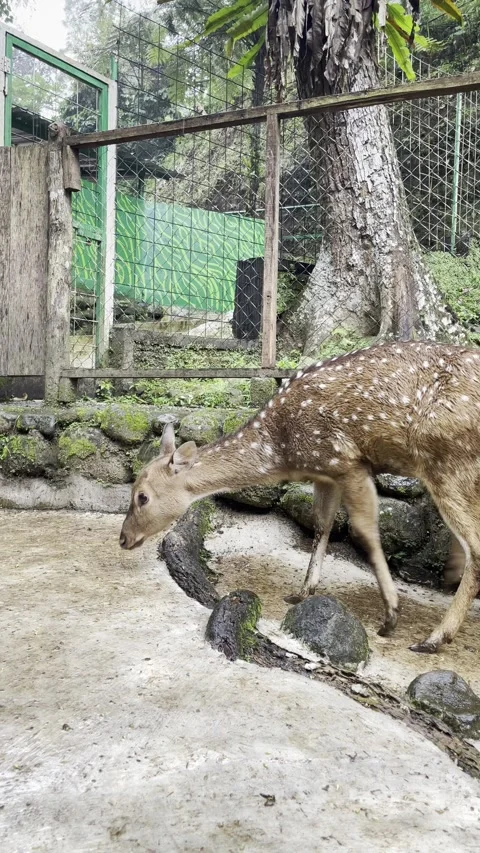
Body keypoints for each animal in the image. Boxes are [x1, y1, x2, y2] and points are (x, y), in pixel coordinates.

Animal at [119, 340, 480, 655]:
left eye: (142, 497)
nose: (123, 539)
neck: (283, 451)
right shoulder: (326, 473)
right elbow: (322, 525)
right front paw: (302, 592)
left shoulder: (347, 460)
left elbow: (363, 531)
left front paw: (390, 616)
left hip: (448, 462)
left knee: (474, 546)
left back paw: (433, 638)